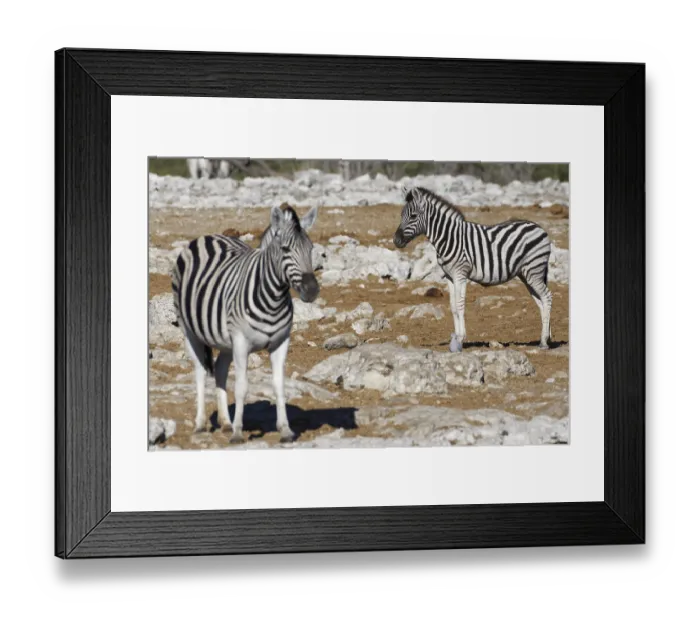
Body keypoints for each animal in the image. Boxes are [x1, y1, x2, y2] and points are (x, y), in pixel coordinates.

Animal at [171, 204, 319, 443]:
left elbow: (279, 385)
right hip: (190, 331)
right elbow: (241, 387)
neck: (273, 299)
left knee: (220, 370)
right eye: (285, 249)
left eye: (311, 248)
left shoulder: (281, 342)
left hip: (225, 341)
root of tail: (208, 236)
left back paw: (225, 422)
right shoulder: (241, 342)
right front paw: (238, 433)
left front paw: (285, 430)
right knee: (200, 372)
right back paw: (201, 424)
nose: (312, 290)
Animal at [393, 186, 553, 350]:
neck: (449, 238)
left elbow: (460, 304)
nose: (396, 240)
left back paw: (544, 342)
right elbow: (453, 306)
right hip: (527, 274)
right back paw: (545, 338)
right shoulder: (449, 276)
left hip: (534, 270)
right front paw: (456, 338)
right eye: (401, 215)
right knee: (541, 302)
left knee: (547, 297)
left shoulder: (460, 274)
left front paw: (460, 339)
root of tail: (538, 227)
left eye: (413, 216)